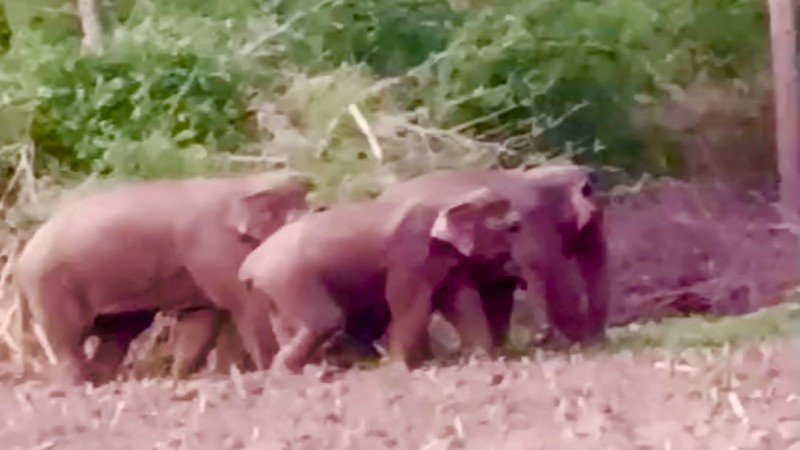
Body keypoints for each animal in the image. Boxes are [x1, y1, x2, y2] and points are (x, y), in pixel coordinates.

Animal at [14, 171, 312, 384]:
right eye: (298, 215)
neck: (245, 182)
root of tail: (20, 258)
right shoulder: (214, 250)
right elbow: (248, 307)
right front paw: (269, 370)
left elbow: (201, 319)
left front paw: (180, 378)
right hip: (51, 287)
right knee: (67, 340)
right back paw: (79, 386)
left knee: (117, 335)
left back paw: (104, 382)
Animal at [241, 185, 520, 372]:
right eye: (514, 227)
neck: (449, 200)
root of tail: (249, 265)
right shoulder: (408, 256)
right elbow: (411, 306)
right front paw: (396, 367)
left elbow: (463, 302)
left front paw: (485, 360)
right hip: (291, 277)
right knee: (326, 319)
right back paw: (288, 372)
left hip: (275, 288)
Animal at [376, 164, 612, 348]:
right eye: (597, 218)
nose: (601, 341)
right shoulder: (537, 229)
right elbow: (560, 283)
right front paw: (581, 343)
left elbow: (499, 295)